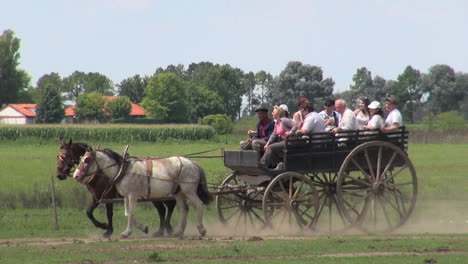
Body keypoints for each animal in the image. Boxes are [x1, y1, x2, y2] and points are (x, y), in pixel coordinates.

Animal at [73, 150, 212, 238]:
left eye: (87, 160)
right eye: (80, 159)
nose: (76, 175)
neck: (123, 170)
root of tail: (193, 163)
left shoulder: (132, 195)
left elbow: (130, 213)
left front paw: (126, 233)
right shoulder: (125, 196)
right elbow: (127, 213)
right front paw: (142, 227)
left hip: (189, 191)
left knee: (199, 205)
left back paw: (202, 229)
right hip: (178, 193)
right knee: (183, 209)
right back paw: (178, 232)